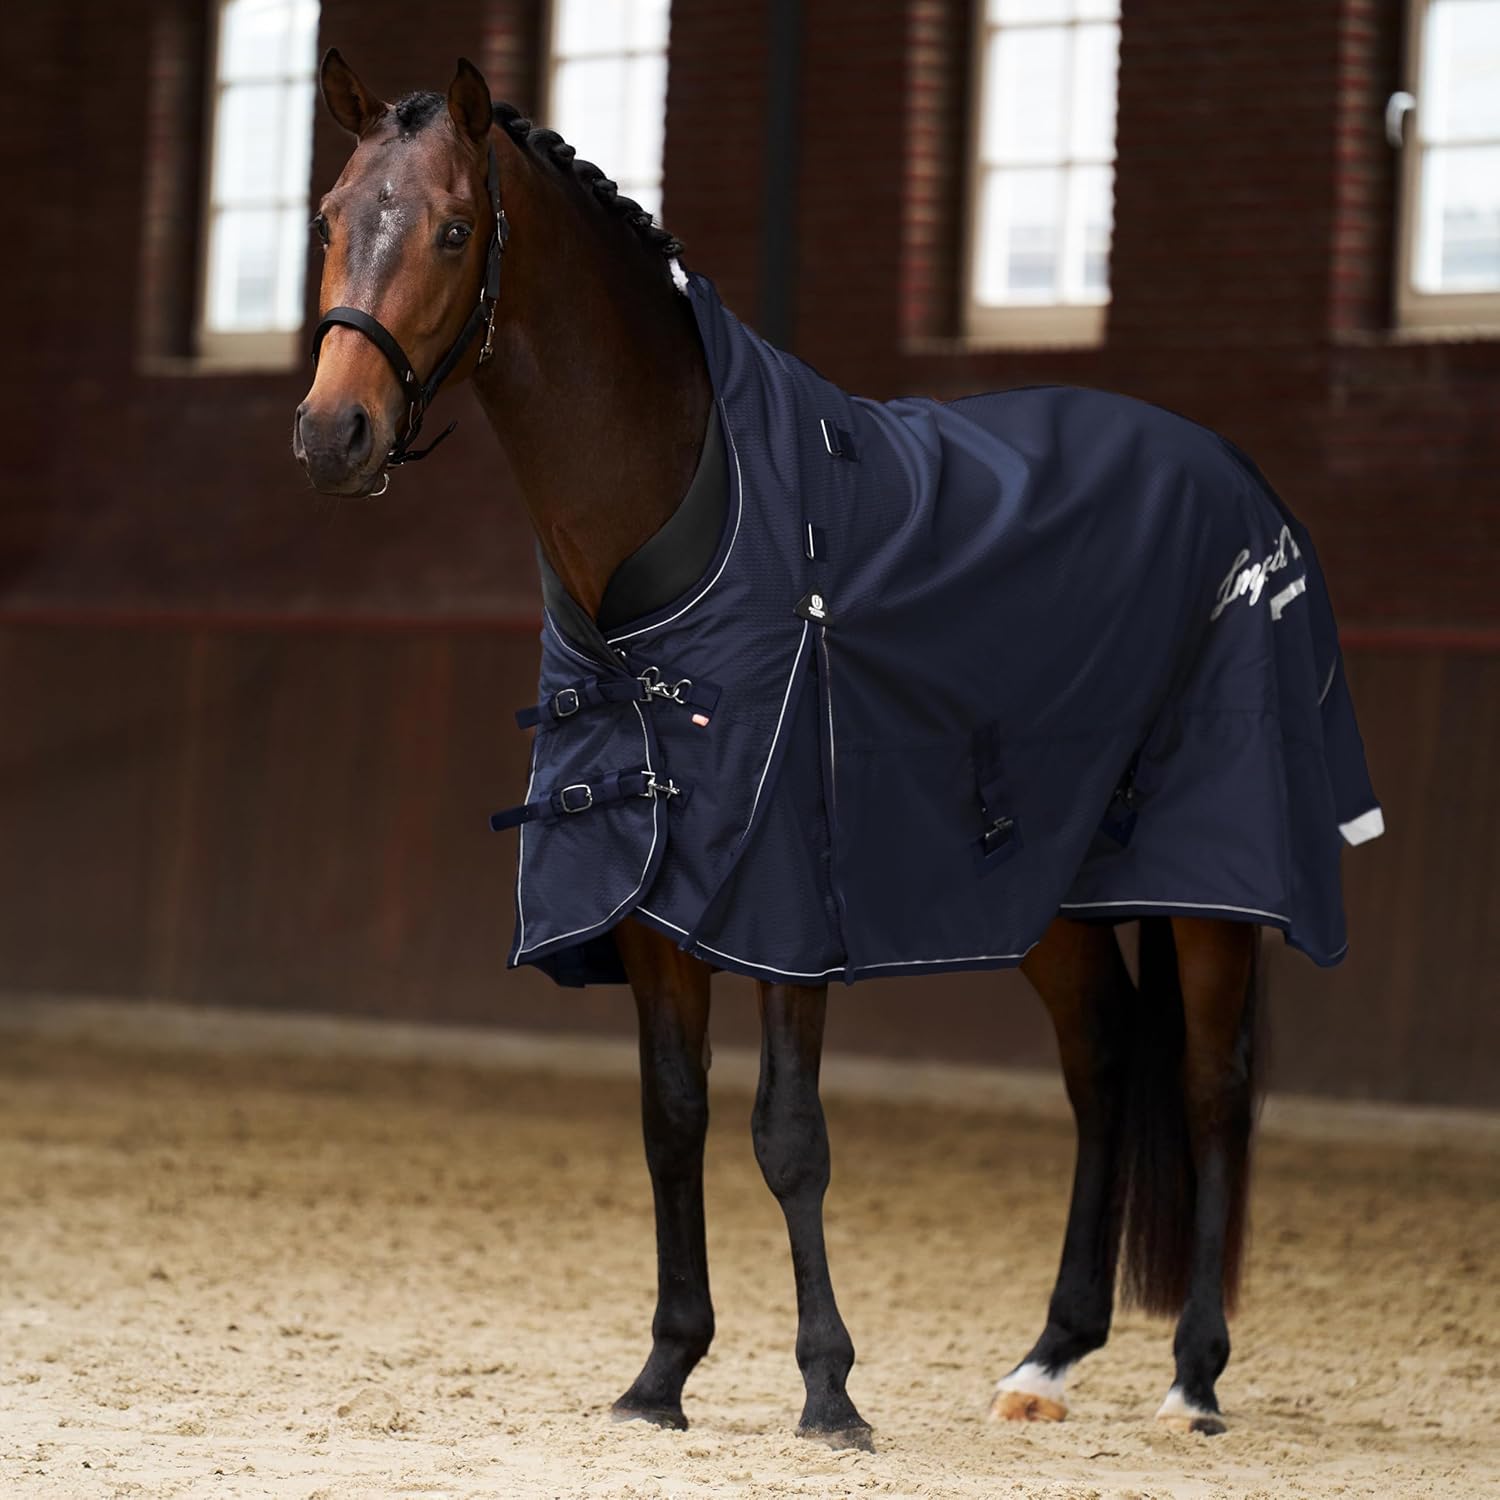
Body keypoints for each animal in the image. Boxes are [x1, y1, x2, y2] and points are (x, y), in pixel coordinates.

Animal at [294, 53, 1378, 1450]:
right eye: (328, 218)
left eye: (452, 229)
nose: (336, 433)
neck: (686, 520)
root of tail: (1235, 476)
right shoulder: (654, 898)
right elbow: (673, 1119)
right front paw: (663, 1375)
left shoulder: (786, 903)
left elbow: (788, 1134)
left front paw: (828, 1389)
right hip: (1052, 887)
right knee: (1100, 1069)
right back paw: (1050, 1358)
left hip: (1212, 879)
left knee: (1208, 1083)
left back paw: (1193, 1377)